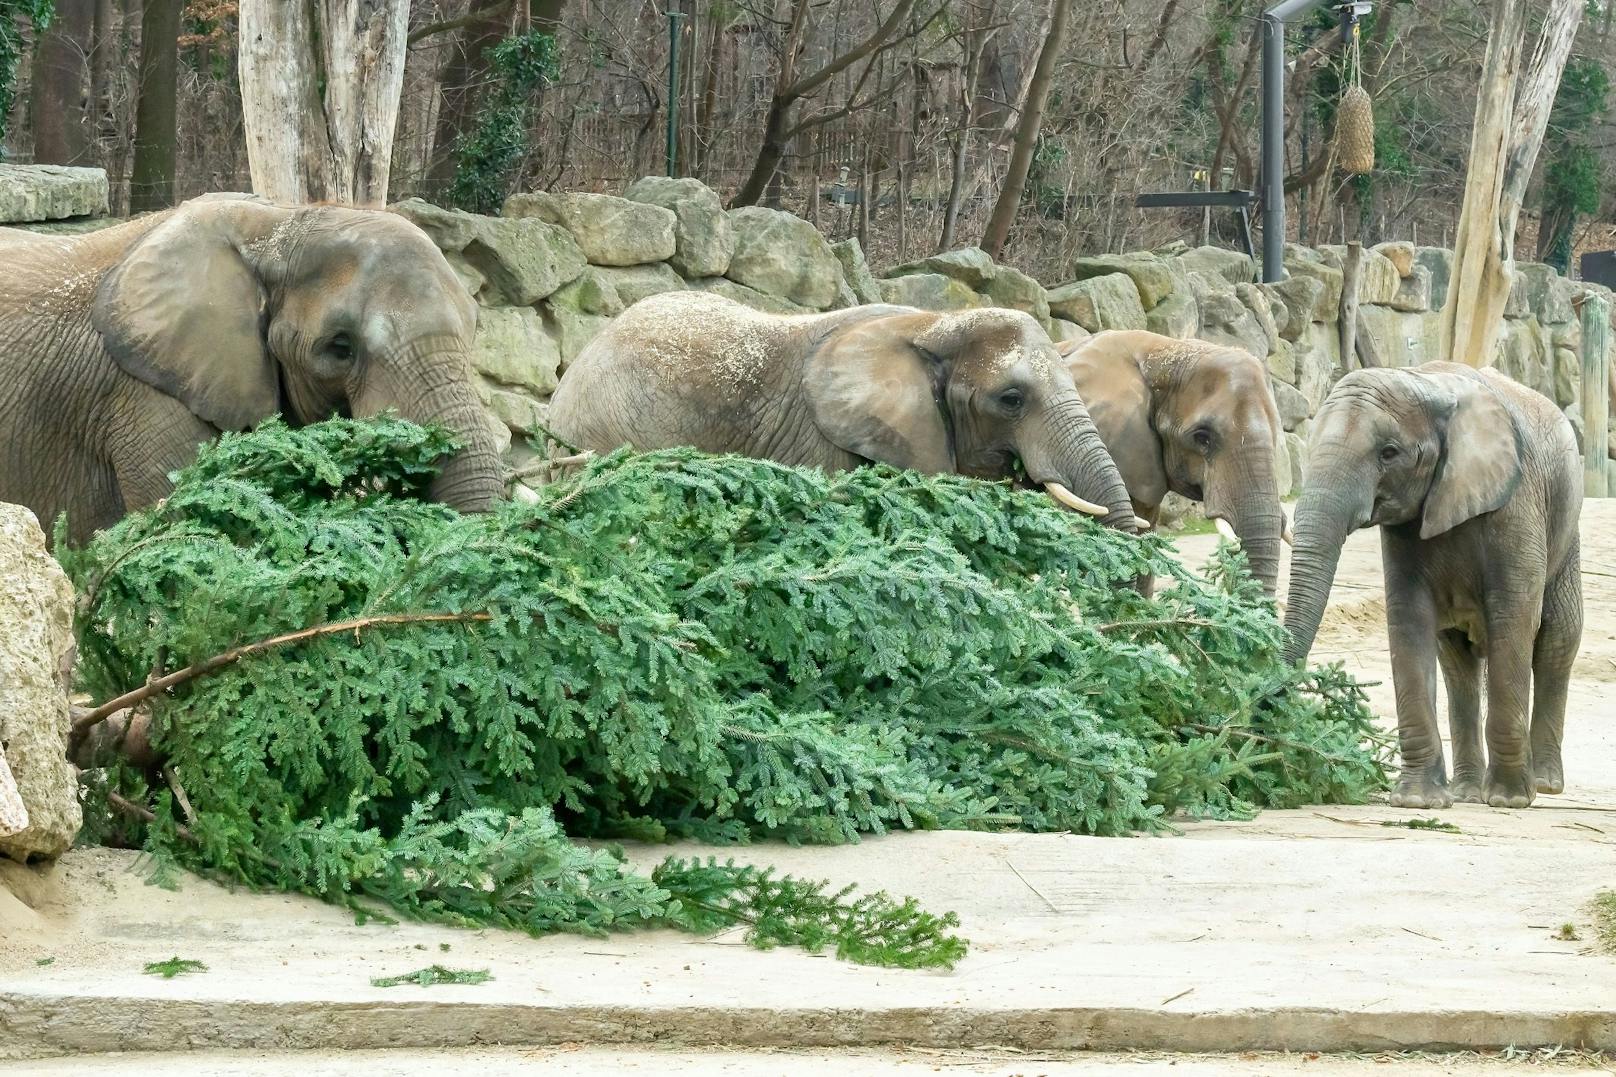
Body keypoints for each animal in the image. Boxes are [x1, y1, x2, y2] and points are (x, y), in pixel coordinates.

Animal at [1279, 360, 1583, 805]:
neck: (1424, 381)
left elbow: (1514, 619)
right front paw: (1417, 800)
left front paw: (1509, 800)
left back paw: (1542, 783)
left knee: (1557, 642)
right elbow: (1409, 621)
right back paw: (1467, 792)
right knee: (1458, 663)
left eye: (1389, 453)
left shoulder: (1518, 504)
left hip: (1566, 534)